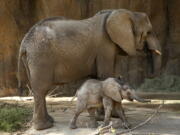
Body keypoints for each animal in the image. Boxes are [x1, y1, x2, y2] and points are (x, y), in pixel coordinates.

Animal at [17, 8, 162, 129]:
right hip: (40, 56)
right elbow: (104, 74)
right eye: (148, 32)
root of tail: (24, 43)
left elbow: (98, 76)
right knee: (41, 89)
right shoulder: (105, 46)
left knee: (38, 90)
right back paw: (44, 127)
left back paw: (49, 121)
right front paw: (104, 117)